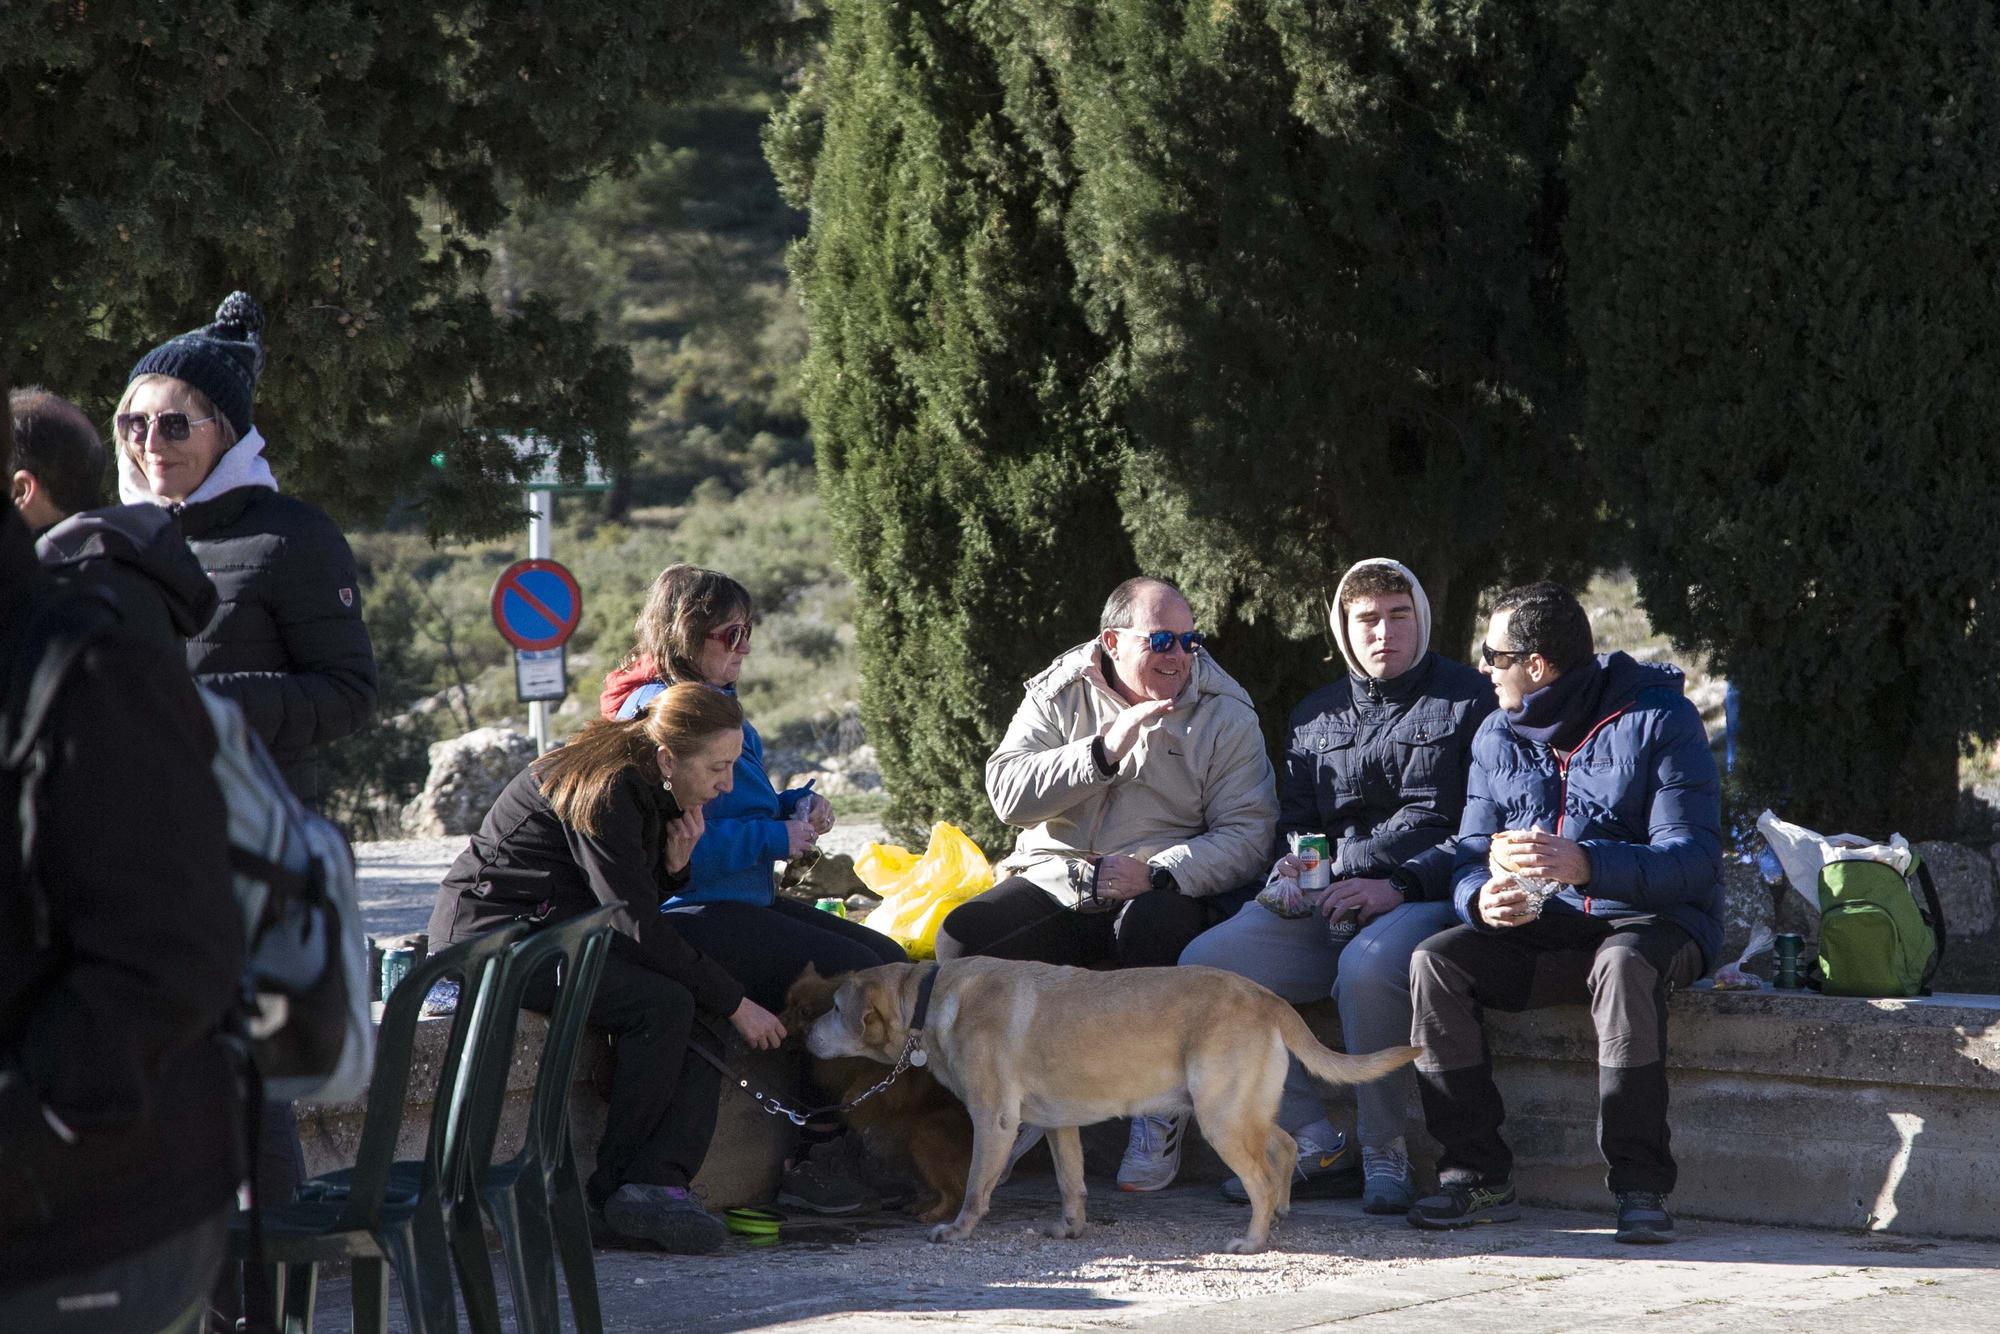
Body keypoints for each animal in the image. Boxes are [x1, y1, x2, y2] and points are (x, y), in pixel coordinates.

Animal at [776, 964, 972, 1224]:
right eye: (788, 1004)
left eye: (804, 1011)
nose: (778, 1019)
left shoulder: (887, 1072)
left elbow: (867, 1086)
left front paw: (852, 1102)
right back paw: (922, 1205)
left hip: (927, 1138)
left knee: (955, 1192)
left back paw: (935, 1213)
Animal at [800, 960, 1424, 1256]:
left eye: (832, 1007)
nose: (802, 1036)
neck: (927, 998)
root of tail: (1267, 996)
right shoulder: (1057, 1126)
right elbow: (1071, 1183)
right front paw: (1070, 1227)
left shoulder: (995, 1120)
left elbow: (976, 1186)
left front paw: (957, 1230)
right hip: (1240, 1109)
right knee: (1285, 1146)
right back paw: (1281, 1216)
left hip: (1219, 1115)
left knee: (1261, 1179)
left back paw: (1253, 1238)